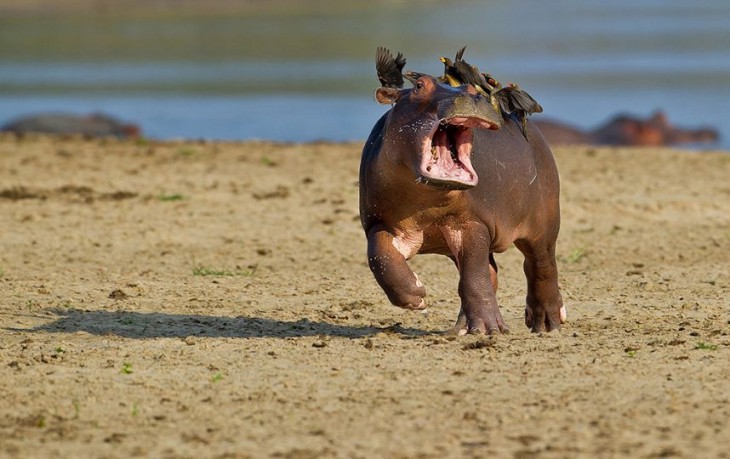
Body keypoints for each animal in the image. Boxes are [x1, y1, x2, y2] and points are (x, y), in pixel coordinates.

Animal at [358, 67, 564, 334]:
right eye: (419, 86)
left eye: (471, 88)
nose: (471, 97)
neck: (426, 201)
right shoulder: (379, 223)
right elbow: (380, 256)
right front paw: (416, 297)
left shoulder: (472, 223)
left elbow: (474, 276)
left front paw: (490, 329)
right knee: (492, 273)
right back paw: (462, 328)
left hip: (544, 224)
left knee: (540, 266)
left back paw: (546, 324)